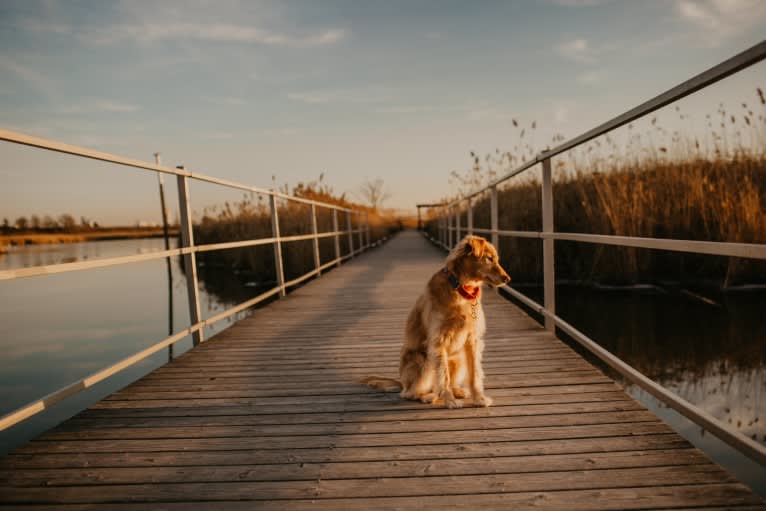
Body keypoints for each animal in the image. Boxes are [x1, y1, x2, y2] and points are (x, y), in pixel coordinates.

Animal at [364, 235, 512, 408]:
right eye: (489, 258)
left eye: (496, 259)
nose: (507, 279)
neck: (460, 289)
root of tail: (402, 382)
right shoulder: (438, 341)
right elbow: (443, 376)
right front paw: (449, 401)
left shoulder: (472, 339)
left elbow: (474, 373)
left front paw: (479, 399)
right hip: (423, 359)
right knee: (410, 393)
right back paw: (429, 396)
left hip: (457, 359)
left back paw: (456, 391)